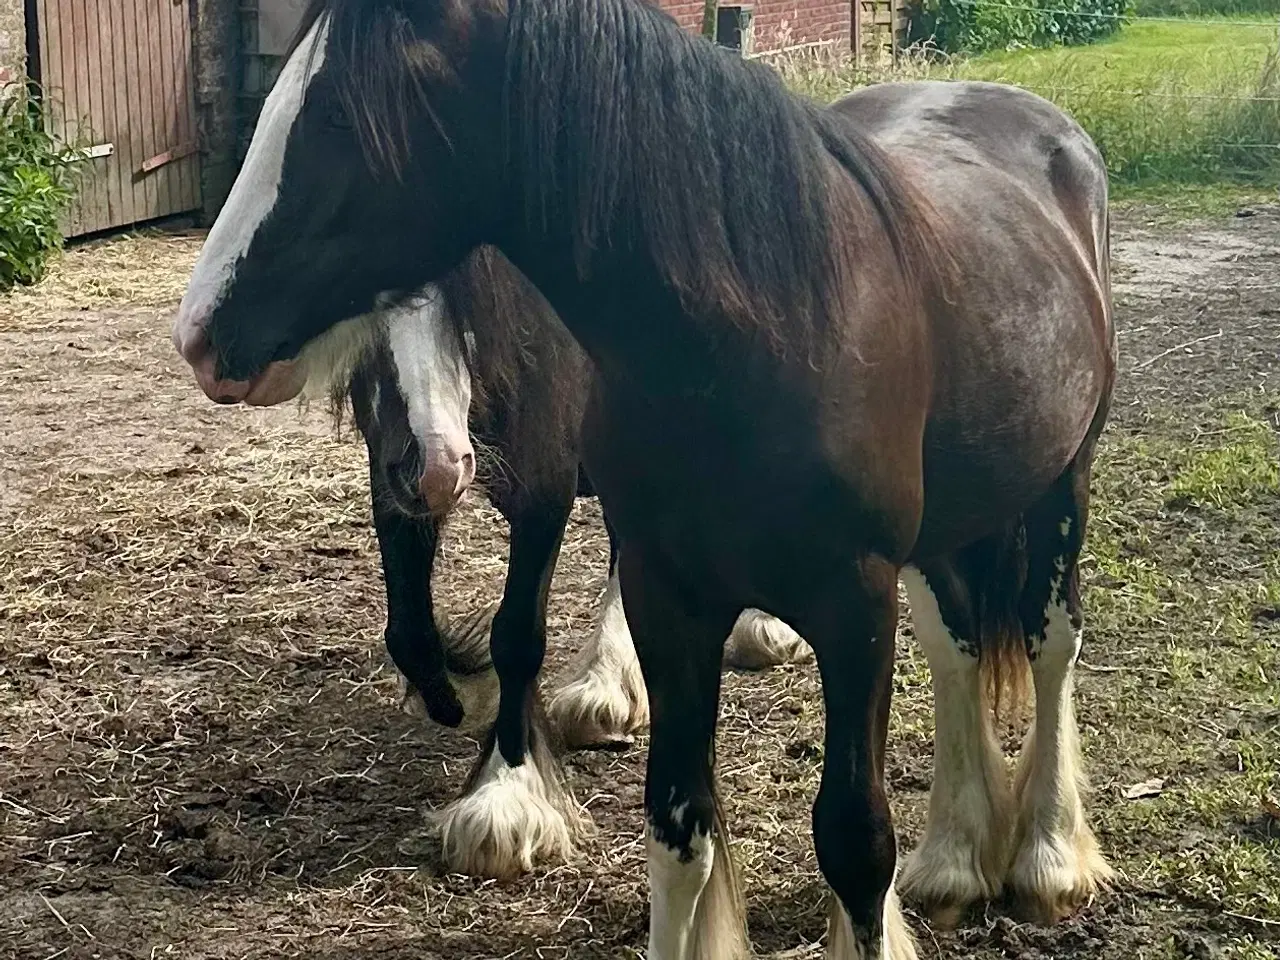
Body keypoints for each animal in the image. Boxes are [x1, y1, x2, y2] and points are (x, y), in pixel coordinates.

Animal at [309, 245, 803, 880]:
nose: (436, 466)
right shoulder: (389, 474)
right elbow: (410, 634)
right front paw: (458, 691)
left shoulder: (547, 473)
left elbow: (517, 637)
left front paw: (506, 792)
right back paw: (607, 684)